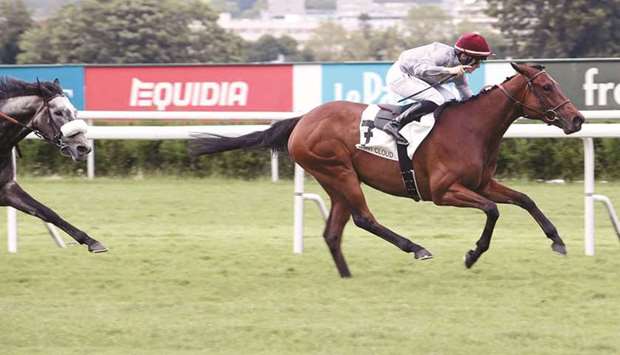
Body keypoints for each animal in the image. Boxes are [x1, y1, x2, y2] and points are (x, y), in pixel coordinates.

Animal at [0, 78, 106, 253]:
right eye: (58, 113)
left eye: (75, 111)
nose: (83, 147)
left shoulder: (6, 188)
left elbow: (46, 212)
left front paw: (92, 241)